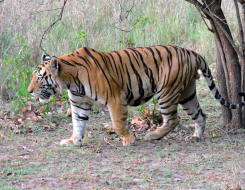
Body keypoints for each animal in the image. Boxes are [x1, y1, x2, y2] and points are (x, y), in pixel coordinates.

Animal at [27, 45, 244, 146]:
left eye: (39, 77)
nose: (29, 91)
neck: (70, 81)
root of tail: (193, 52)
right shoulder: (79, 104)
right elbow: (77, 124)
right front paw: (73, 141)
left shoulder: (115, 99)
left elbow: (118, 123)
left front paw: (130, 139)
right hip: (187, 93)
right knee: (200, 115)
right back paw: (196, 136)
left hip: (166, 91)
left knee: (173, 119)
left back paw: (153, 135)